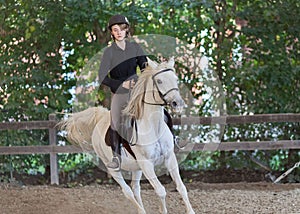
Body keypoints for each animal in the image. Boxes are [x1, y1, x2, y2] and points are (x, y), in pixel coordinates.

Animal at [59, 57, 195, 214]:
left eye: (175, 79)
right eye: (159, 81)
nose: (178, 103)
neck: (153, 127)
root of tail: (101, 118)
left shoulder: (169, 157)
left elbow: (181, 187)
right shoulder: (146, 163)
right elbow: (160, 190)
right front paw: (162, 210)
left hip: (136, 168)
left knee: (135, 189)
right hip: (113, 167)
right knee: (127, 191)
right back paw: (140, 210)